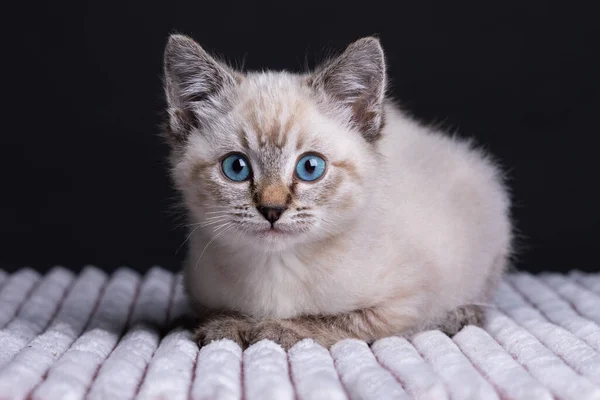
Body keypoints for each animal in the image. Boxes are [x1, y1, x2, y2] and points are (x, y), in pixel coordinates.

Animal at [163, 34, 510, 350]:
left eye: (310, 168)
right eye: (236, 168)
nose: (272, 210)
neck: (277, 267)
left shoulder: (404, 304)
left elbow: (335, 320)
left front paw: (276, 328)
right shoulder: (199, 290)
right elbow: (214, 312)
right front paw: (227, 325)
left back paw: (461, 315)